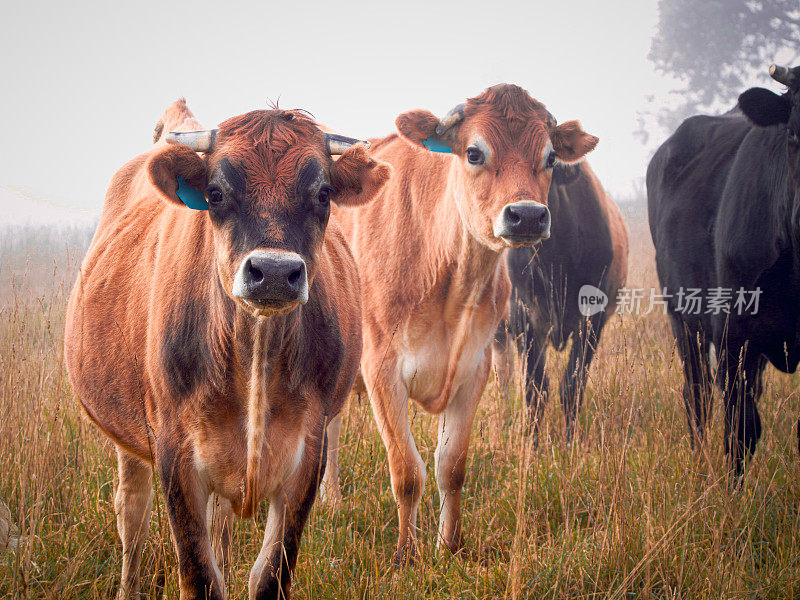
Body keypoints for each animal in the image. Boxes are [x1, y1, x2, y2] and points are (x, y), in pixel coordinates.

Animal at [62, 99, 390, 600]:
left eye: (323, 194)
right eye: (215, 194)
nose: (273, 272)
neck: (253, 357)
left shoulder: (306, 456)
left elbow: (269, 575)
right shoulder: (175, 455)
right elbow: (200, 576)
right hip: (128, 440)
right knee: (131, 515)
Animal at [322, 84, 596, 564]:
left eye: (549, 157)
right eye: (473, 152)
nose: (527, 215)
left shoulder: (474, 368)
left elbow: (451, 466)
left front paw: (449, 546)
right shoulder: (381, 368)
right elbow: (407, 471)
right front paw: (405, 553)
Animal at [490, 162, 628, 442]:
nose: (527, 215)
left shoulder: (593, 319)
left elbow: (572, 387)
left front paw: (570, 442)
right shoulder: (523, 318)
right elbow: (535, 390)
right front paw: (532, 445)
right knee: (503, 377)